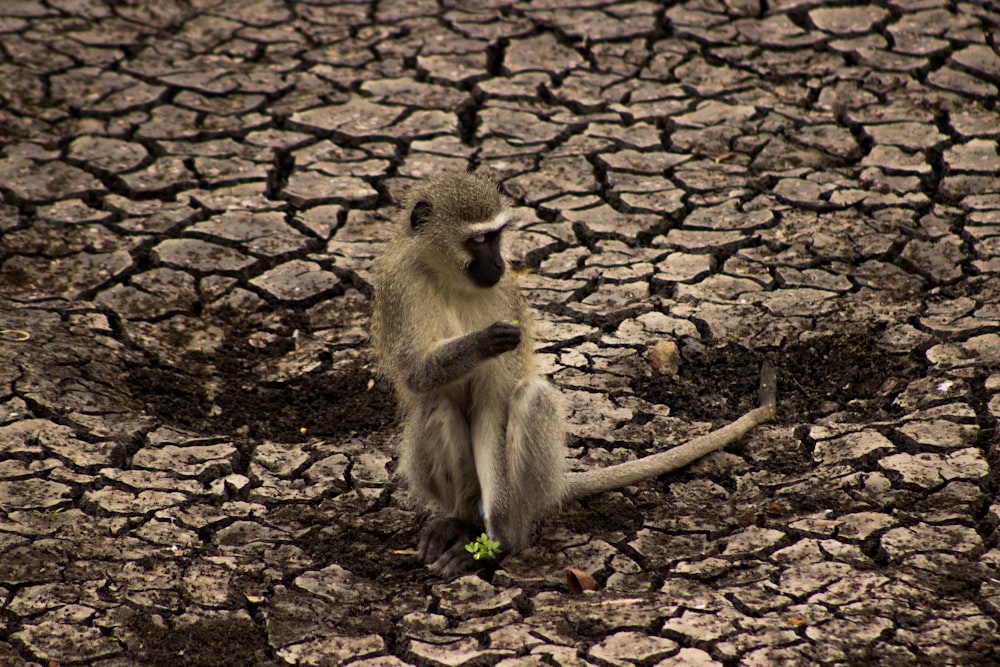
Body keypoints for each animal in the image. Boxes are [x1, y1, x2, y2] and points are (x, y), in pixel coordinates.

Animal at [372, 172, 776, 580]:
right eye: (477, 240)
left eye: (496, 236)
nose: (499, 263)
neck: (449, 278)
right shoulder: (400, 287)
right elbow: (416, 374)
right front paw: (483, 341)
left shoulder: (503, 295)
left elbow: (494, 406)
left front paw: (494, 545)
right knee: (435, 402)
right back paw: (461, 521)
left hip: (534, 488)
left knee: (530, 398)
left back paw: (504, 536)